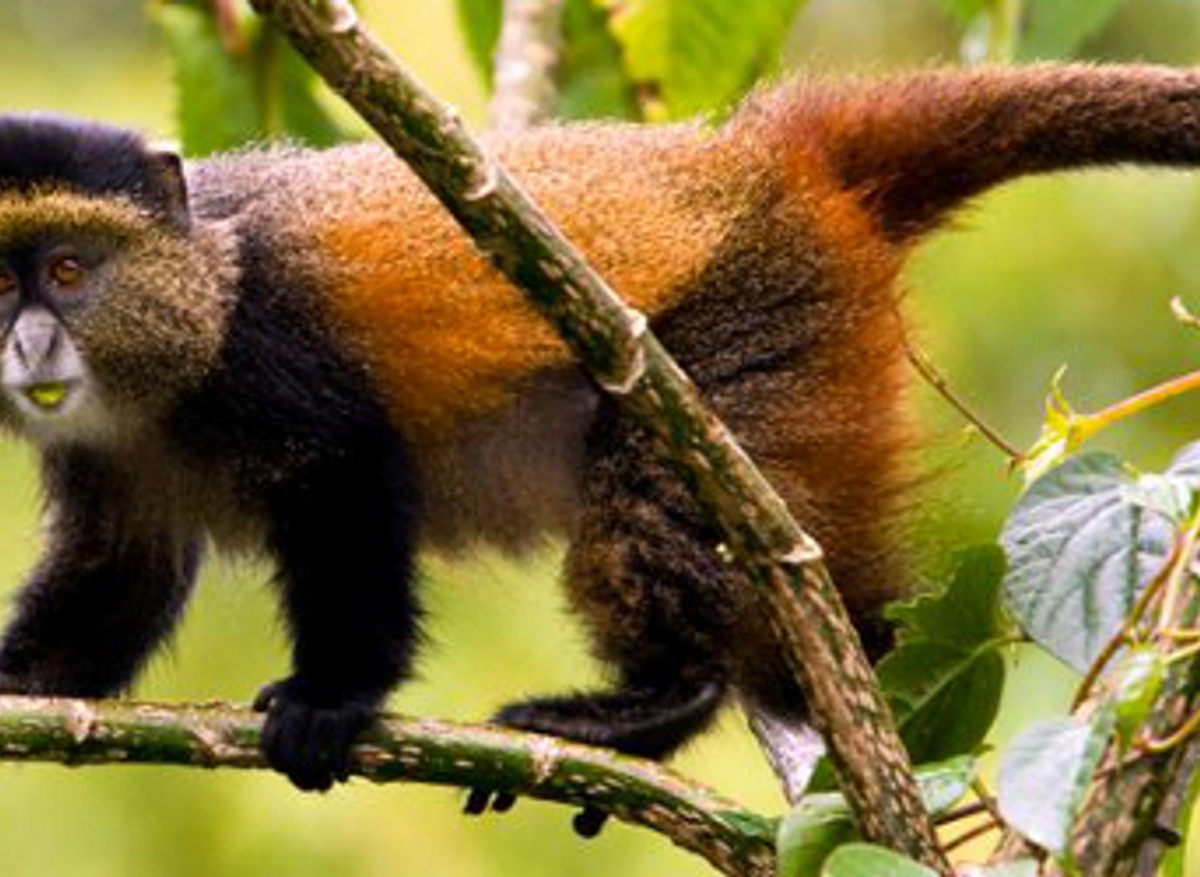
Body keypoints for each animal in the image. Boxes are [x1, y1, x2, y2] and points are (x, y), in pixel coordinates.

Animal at [0, 64, 1198, 807]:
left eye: (68, 268)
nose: (27, 342)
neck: (191, 302)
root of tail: (756, 160)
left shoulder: (271, 353)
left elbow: (352, 485)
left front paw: (331, 699)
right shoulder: (107, 460)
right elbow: (116, 577)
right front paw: (22, 680)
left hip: (753, 333)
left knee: (656, 499)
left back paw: (659, 702)